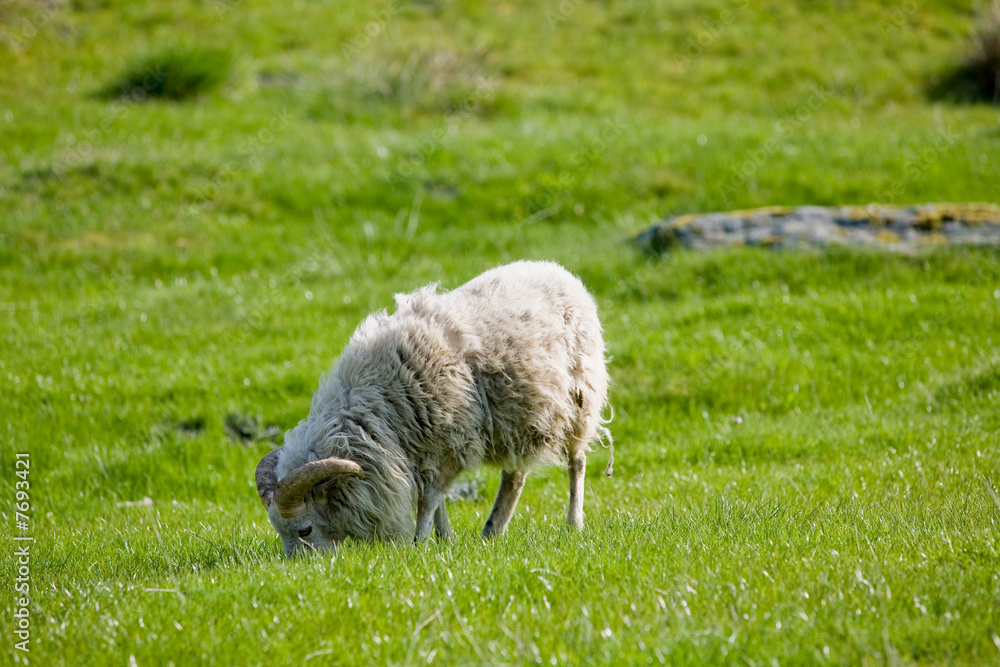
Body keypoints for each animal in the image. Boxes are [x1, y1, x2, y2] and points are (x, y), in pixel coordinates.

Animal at [255, 260, 611, 556]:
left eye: (305, 529)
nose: (302, 566)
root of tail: (558, 271)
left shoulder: (450, 443)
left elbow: (429, 501)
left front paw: (420, 543)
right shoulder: (426, 450)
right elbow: (438, 501)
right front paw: (444, 539)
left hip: (579, 402)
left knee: (577, 463)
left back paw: (574, 523)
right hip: (517, 419)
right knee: (515, 476)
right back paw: (492, 532)